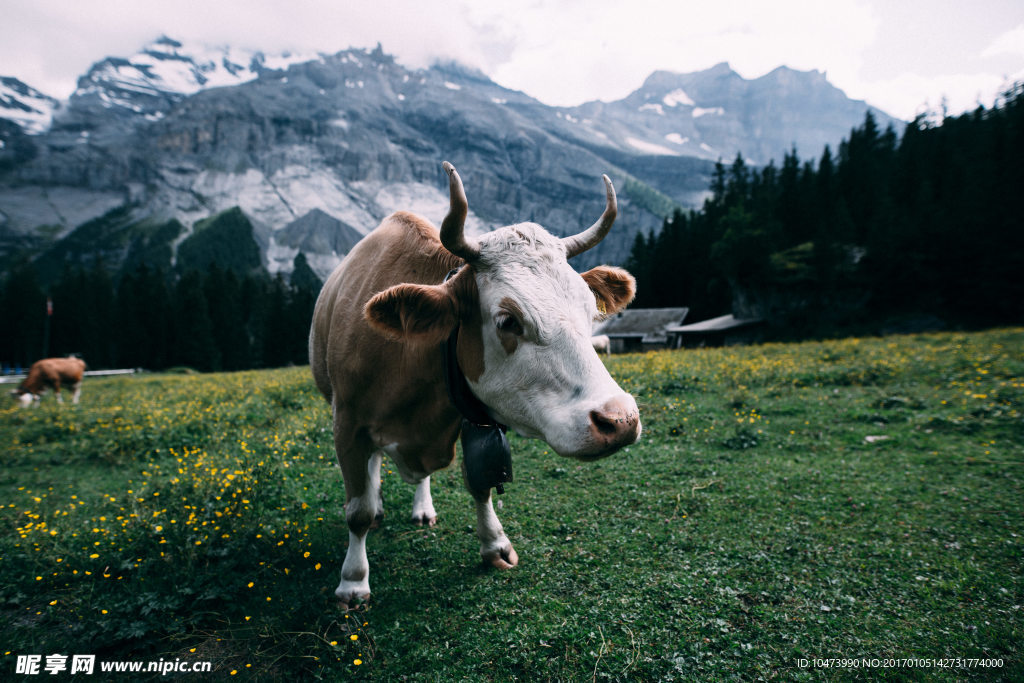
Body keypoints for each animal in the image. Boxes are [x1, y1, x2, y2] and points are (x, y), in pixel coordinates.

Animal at [307, 161, 638, 610]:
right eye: (508, 320)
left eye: (591, 310)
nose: (620, 420)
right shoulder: (347, 424)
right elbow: (356, 510)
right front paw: (353, 582)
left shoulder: (469, 416)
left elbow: (480, 483)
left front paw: (495, 545)